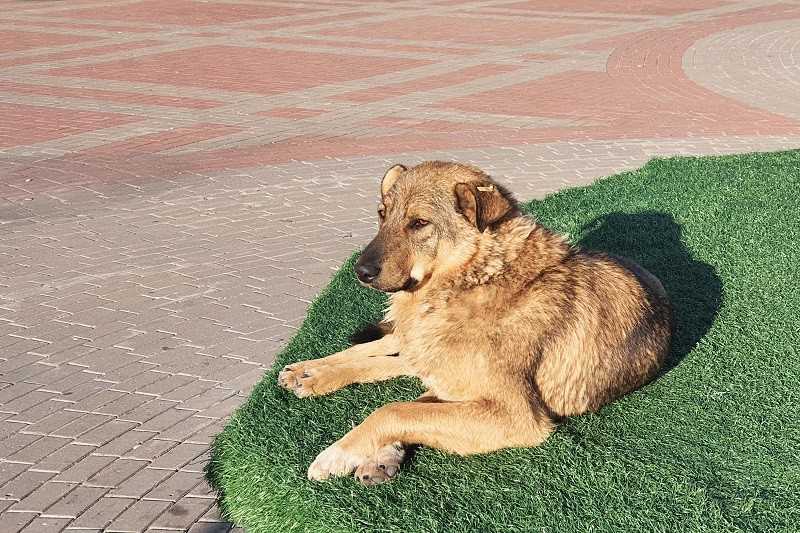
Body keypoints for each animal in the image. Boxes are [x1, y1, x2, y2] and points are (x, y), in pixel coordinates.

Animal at [278, 160, 672, 484]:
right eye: (381, 214)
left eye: (419, 223)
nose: (360, 272)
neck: (477, 279)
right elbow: (400, 400)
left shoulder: (517, 417)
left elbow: (395, 409)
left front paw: (341, 452)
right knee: (375, 352)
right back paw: (308, 371)